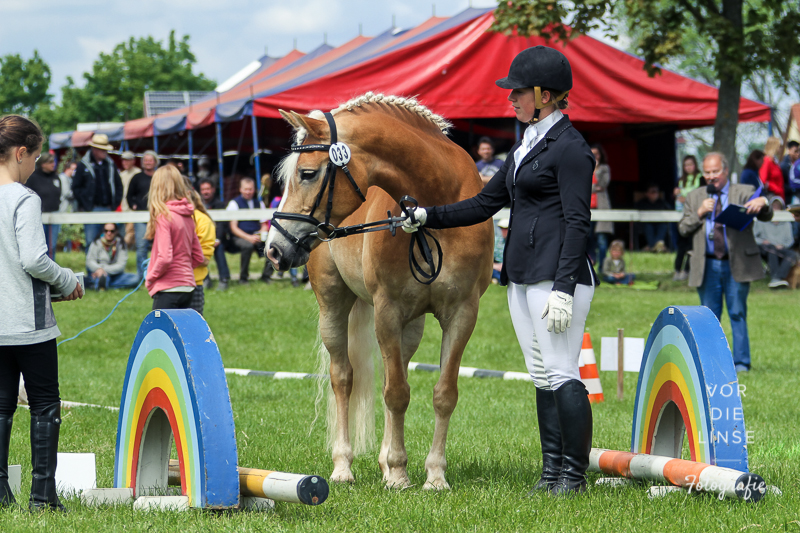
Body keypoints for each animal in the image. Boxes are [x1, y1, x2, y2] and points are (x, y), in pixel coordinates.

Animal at [268, 92, 494, 490]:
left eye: (307, 173)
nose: (274, 248)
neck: (440, 208)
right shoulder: (388, 311)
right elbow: (397, 394)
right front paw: (400, 473)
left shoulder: (462, 314)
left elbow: (442, 394)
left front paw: (434, 475)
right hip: (334, 308)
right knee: (343, 378)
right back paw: (344, 467)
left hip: (412, 325)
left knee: (394, 373)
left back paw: (385, 463)